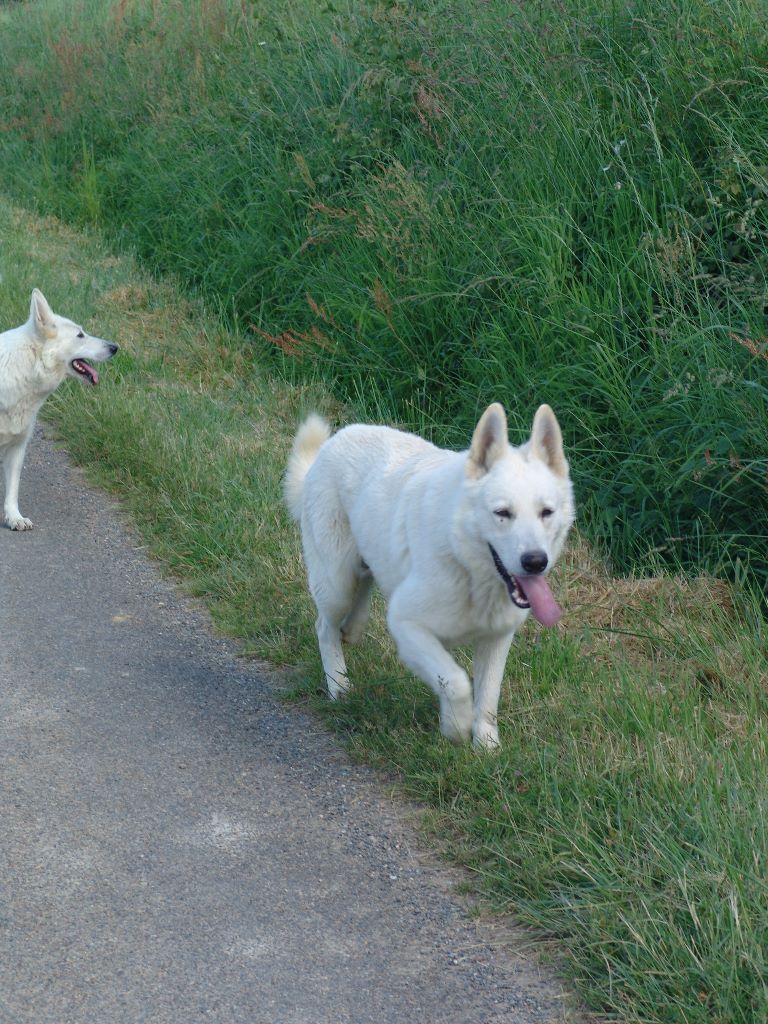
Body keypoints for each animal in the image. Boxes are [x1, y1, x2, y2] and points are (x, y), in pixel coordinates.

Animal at [285, 402, 575, 749]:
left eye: (546, 513)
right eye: (502, 513)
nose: (535, 562)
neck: (466, 565)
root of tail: (334, 442)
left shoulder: (496, 639)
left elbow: (488, 697)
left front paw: (485, 743)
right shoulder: (407, 626)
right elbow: (457, 681)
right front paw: (456, 727)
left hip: (361, 567)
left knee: (362, 590)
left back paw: (351, 630)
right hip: (335, 583)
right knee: (324, 627)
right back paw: (338, 683)